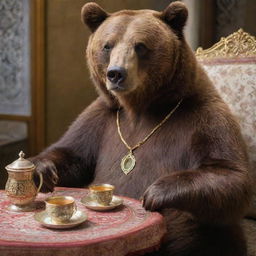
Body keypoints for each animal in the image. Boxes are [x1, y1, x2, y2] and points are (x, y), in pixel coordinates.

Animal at [33, 2, 251, 256]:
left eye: (140, 45)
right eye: (107, 45)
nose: (116, 73)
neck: (140, 107)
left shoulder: (203, 118)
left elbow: (229, 174)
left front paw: (155, 193)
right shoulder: (102, 119)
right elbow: (73, 153)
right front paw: (43, 170)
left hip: (199, 239)